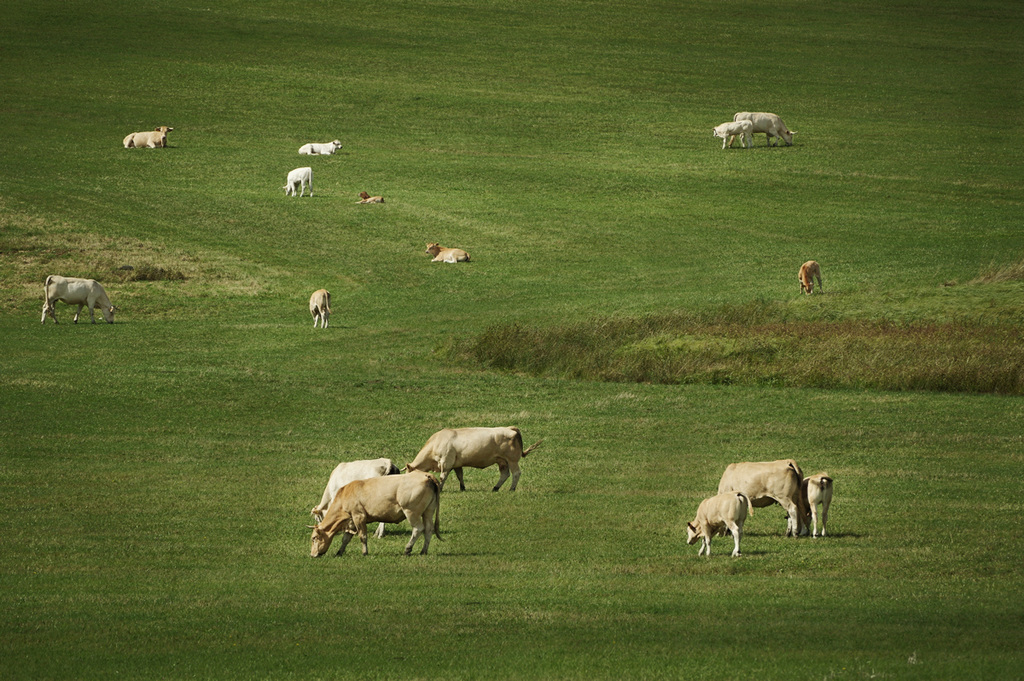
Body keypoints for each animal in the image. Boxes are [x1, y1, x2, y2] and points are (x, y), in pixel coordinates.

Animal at [309, 471, 442, 557]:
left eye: (314, 538)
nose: (312, 555)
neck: (344, 496)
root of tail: (426, 475)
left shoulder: (359, 516)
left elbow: (362, 536)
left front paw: (364, 552)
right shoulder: (351, 520)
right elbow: (346, 538)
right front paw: (339, 552)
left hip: (411, 512)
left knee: (418, 529)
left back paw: (407, 549)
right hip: (428, 511)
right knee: (428, 529)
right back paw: (423, 551)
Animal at [403, 426, 544, 489]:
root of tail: (511, 428)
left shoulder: (446, 462)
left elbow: (443, 477)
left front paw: (440, 488)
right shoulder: (456, 464)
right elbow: (460, 476)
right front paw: (463, 488)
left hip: (512, 460)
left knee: (516, 473)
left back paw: (511, 489)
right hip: (502, 461)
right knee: (505, 474)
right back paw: (495, 488)